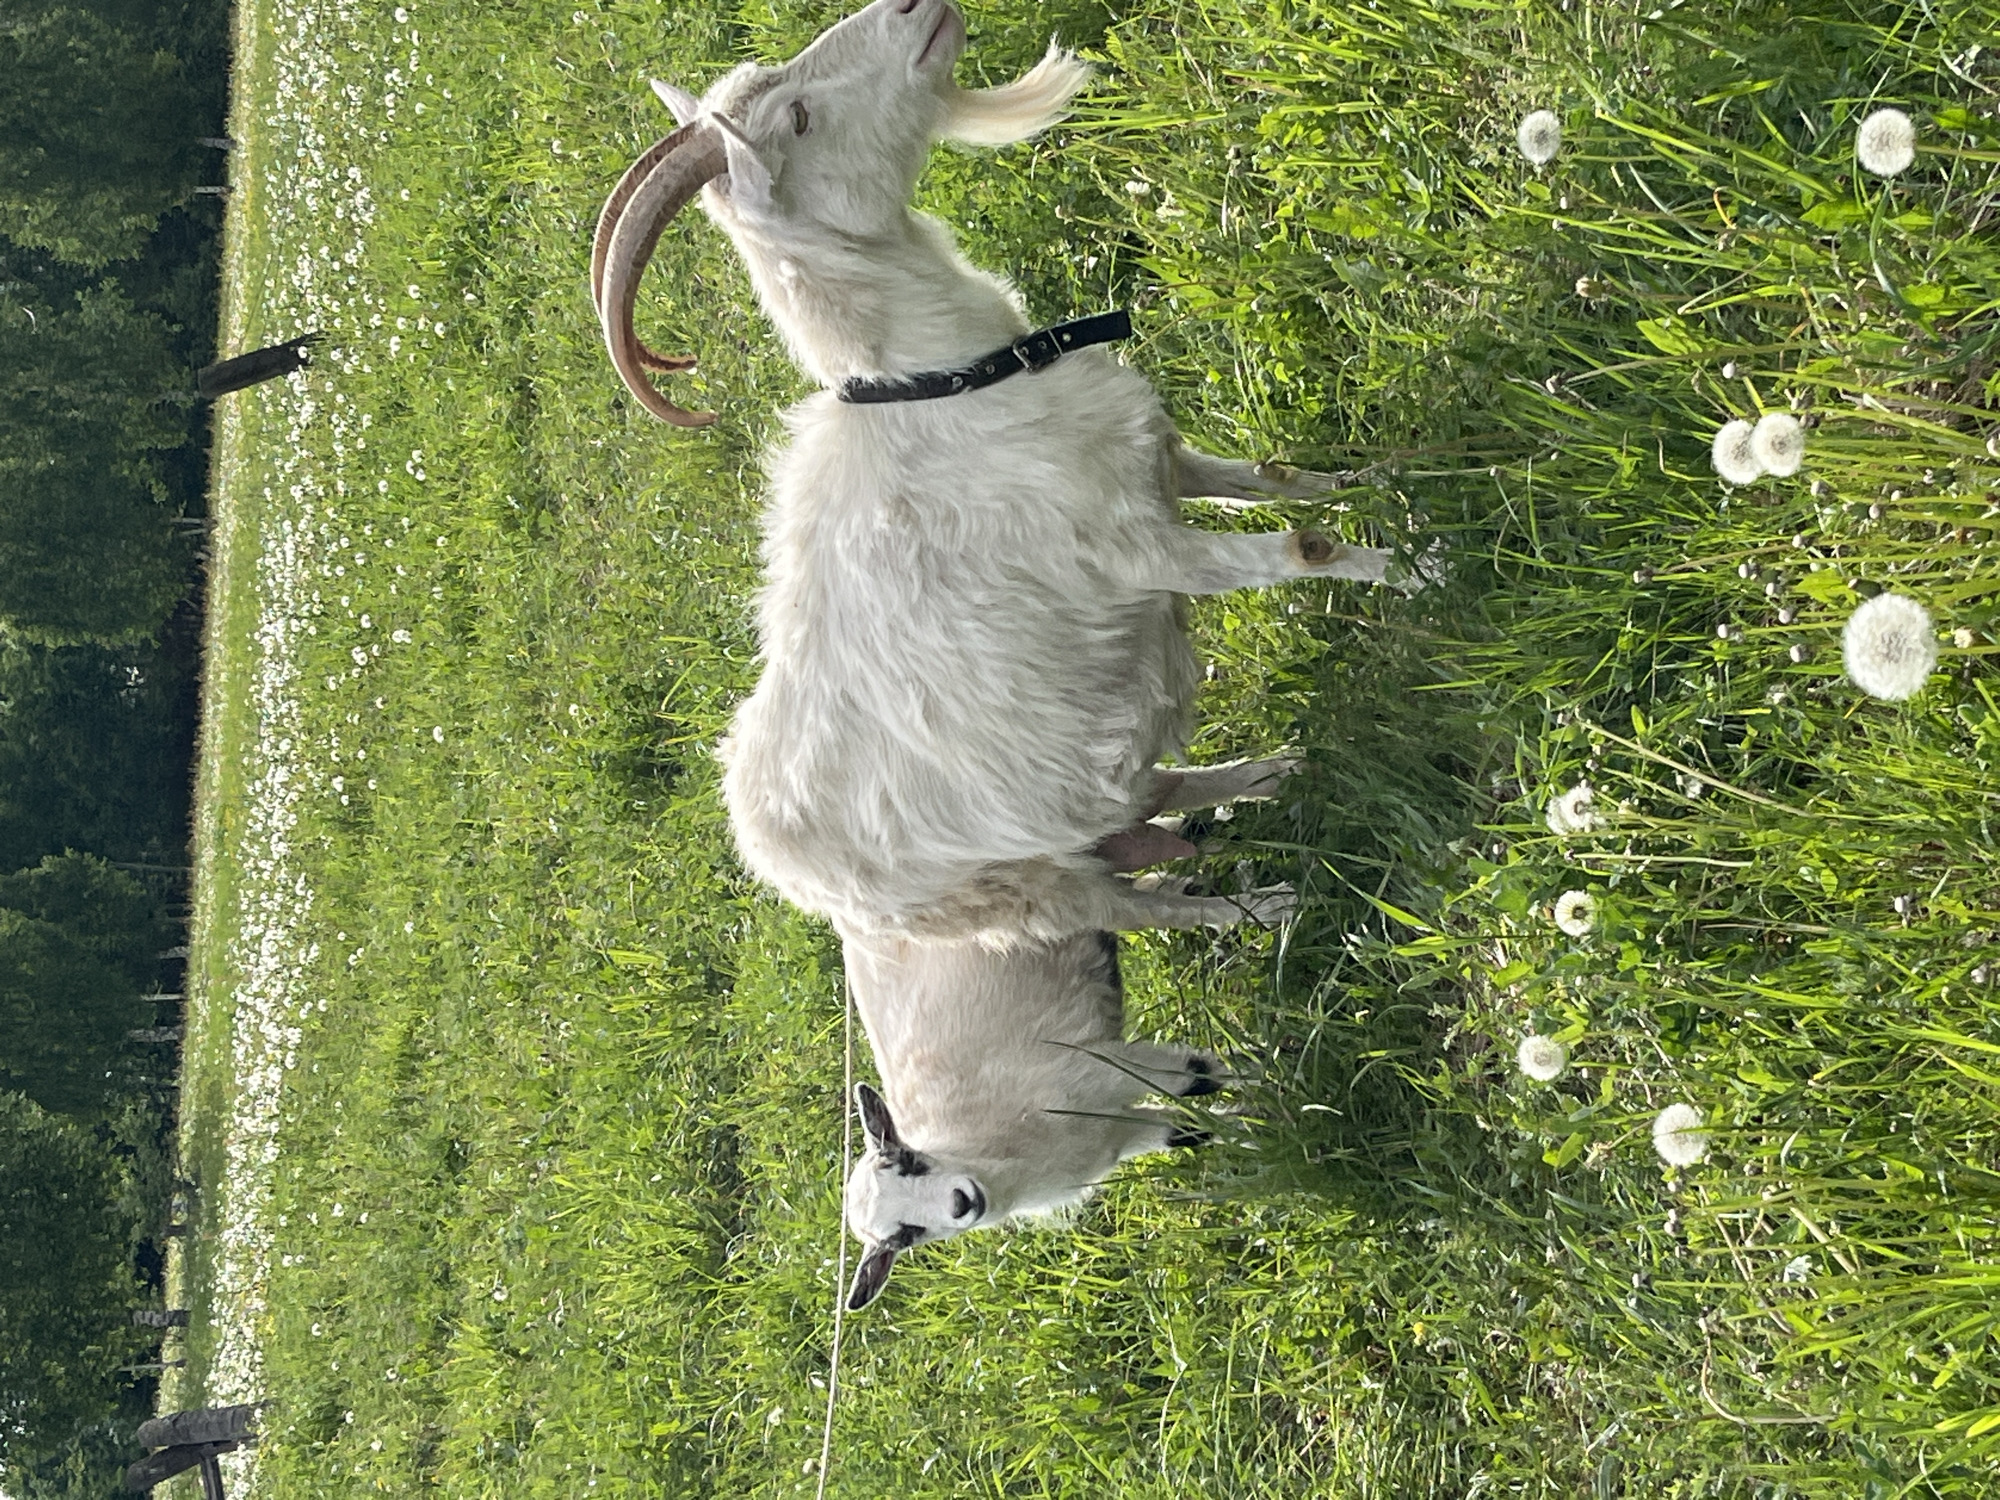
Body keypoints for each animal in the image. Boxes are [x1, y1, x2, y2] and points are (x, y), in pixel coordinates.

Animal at [594, 0, 1420, 950]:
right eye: (798, 118)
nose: (912, 8)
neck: (955, 384)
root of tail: (779, 867)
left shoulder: (1153, 462)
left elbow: (1276, 478)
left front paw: (1382, 476)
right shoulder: (1140, 551)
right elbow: (1300, 550)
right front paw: (1417, 568)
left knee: (1147, 800)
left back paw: (1269, 775)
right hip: (1018, 889)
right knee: (1130, 903)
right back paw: (1258, 905)